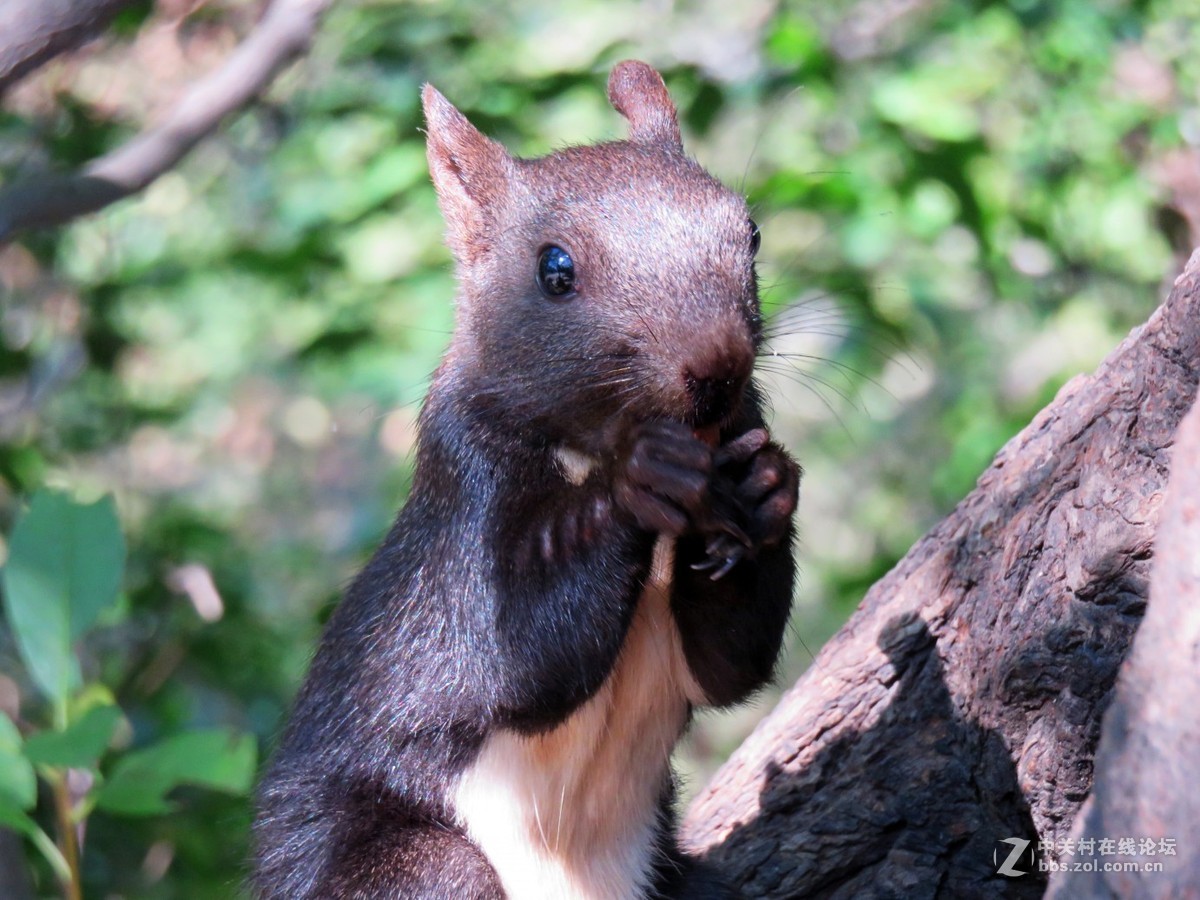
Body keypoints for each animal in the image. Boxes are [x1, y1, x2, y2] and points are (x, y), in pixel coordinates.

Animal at [252, 60, 796, 897]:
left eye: (752, 232)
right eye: (554, 269)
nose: (718, 372)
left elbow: (728, 663)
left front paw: (768, 486)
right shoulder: (460, 526)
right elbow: (522, 662)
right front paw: (641, 479)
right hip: (411, 866)